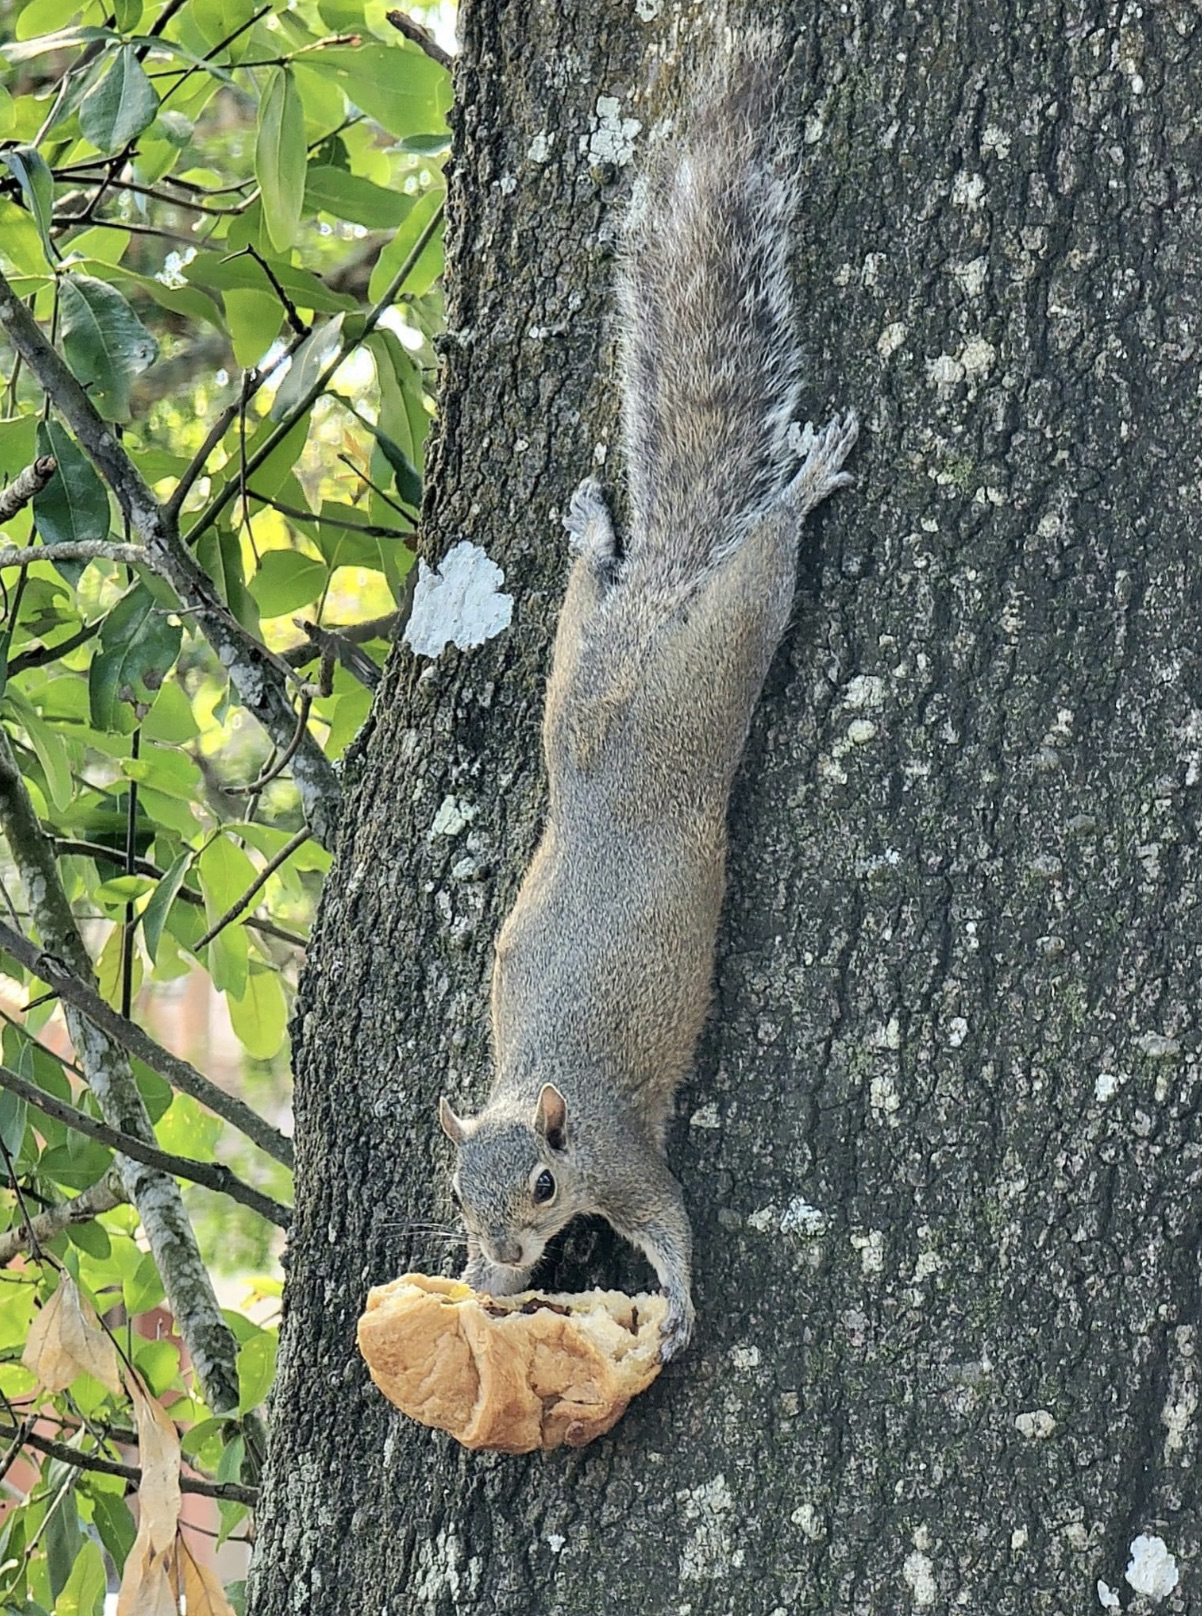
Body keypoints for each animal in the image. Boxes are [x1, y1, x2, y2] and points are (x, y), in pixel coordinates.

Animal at [436, 31, 859, 1357]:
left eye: (541, 1184)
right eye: (454, 1190)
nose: (500, 1253)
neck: (542, 1091)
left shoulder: (620, 1153)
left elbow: (670, 1219)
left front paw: (672, 1309)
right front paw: (479, 1295)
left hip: (707, 676)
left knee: (754, 582)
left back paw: (796, 492)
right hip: (574, 690)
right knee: (586, 616)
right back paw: (590, 534)